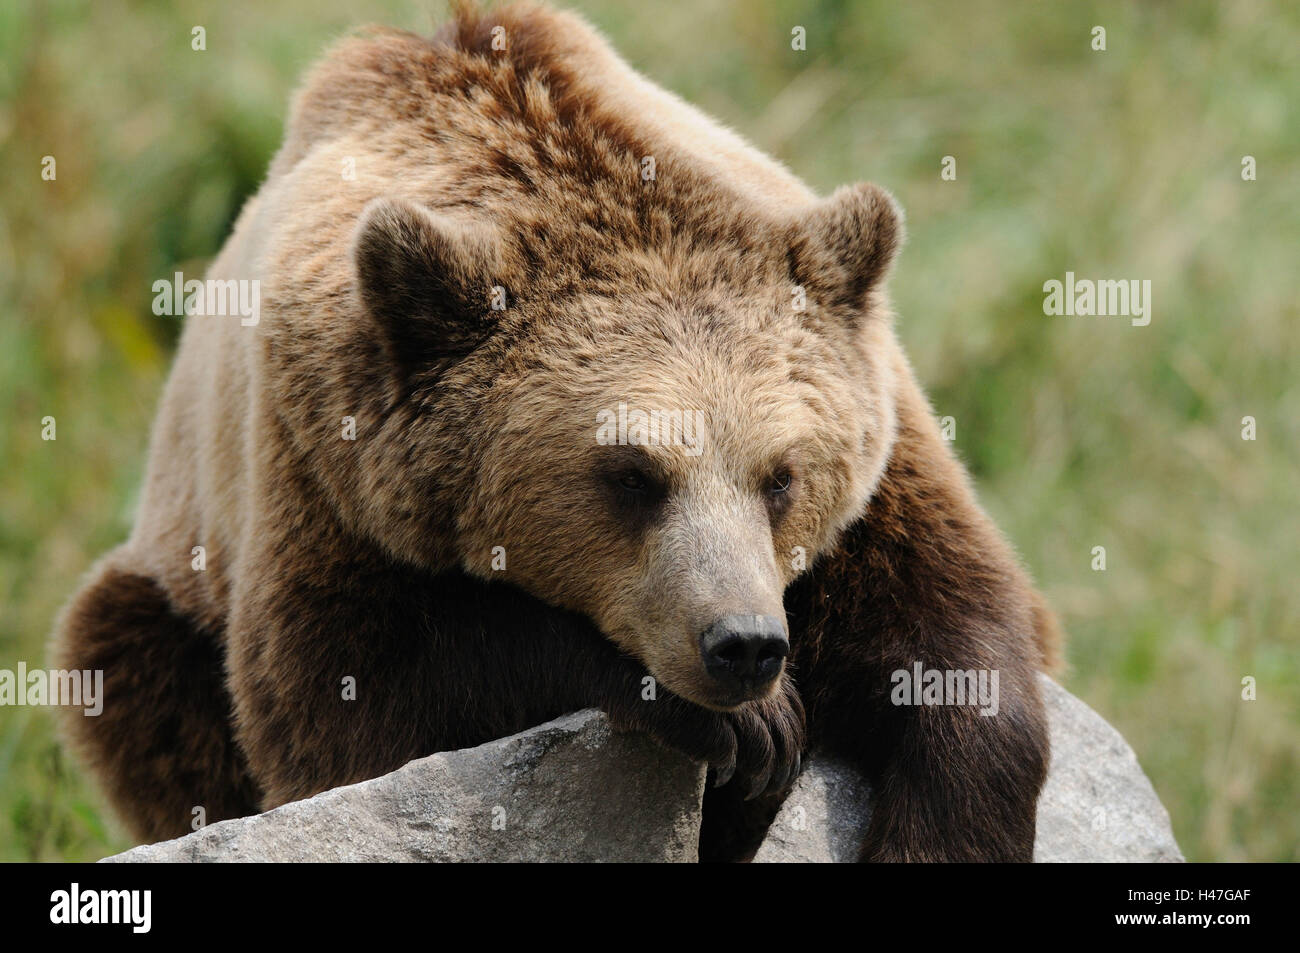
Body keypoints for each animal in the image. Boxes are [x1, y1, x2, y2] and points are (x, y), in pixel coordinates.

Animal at [55, 0, 1060, 863]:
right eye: (631, 474)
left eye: (782, 476)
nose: (742, 644)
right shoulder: (324, 469)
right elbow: (357, 702)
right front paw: (753, 730)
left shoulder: (882, 459)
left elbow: (958, 633)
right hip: (174, 578)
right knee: (123, 667)